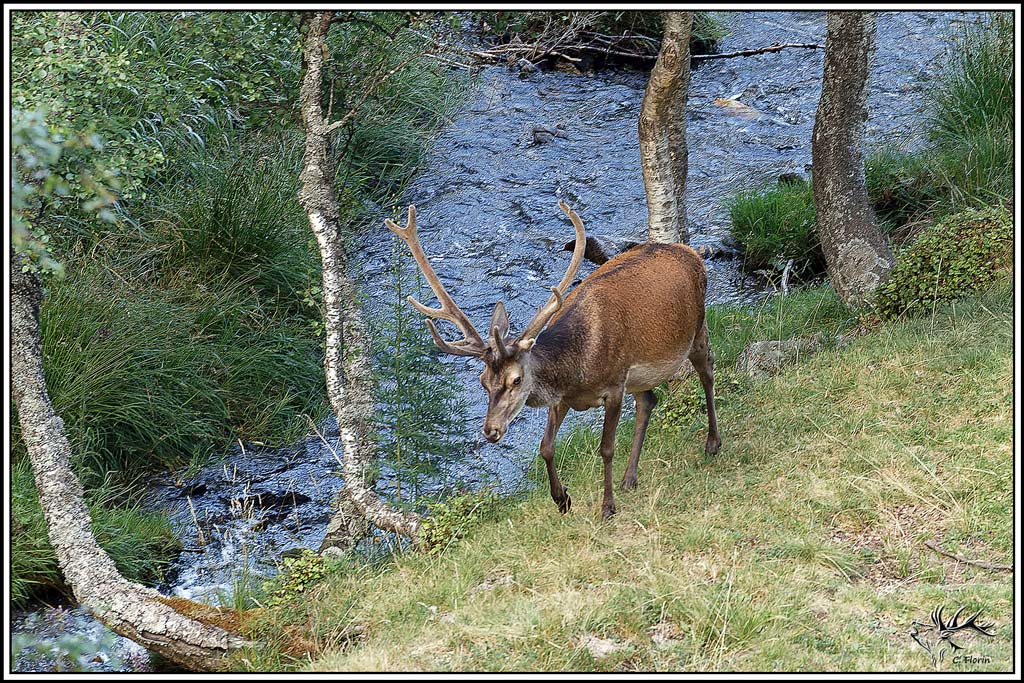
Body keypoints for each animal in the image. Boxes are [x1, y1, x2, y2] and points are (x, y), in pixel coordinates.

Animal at [385, 201, 720, 520]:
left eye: (516, 379)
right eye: (483, 382)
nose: (490, 430)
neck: (579, 369)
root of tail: (689, 251)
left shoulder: (614, 385)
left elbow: (606, 448)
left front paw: (607, 507)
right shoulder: (563, 398)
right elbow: (545, 447)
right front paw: (562, 499)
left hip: (697, 329)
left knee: (707, 374)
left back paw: (712, 443)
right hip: (639, 375)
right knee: (648, 400)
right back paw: (630, 478)